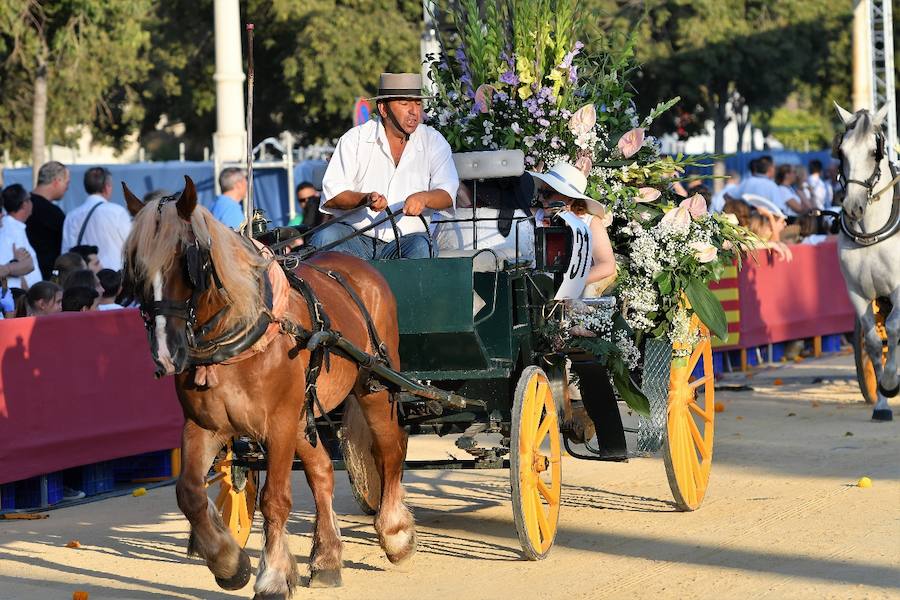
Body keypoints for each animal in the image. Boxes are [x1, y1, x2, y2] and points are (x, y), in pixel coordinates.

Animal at [120, 178, 414, 600]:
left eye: (187, 260)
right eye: (136, 266)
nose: (165, 352)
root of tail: (360, 266)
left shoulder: (277, 425)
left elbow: (274, 500)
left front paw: (273, 576)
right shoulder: (204, 426)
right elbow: (189, 493)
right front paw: (228, 562)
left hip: (373, 387)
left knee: (389, 450)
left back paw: (394, 533)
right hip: (305, 414)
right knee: (323, 471)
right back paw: (327, 558)